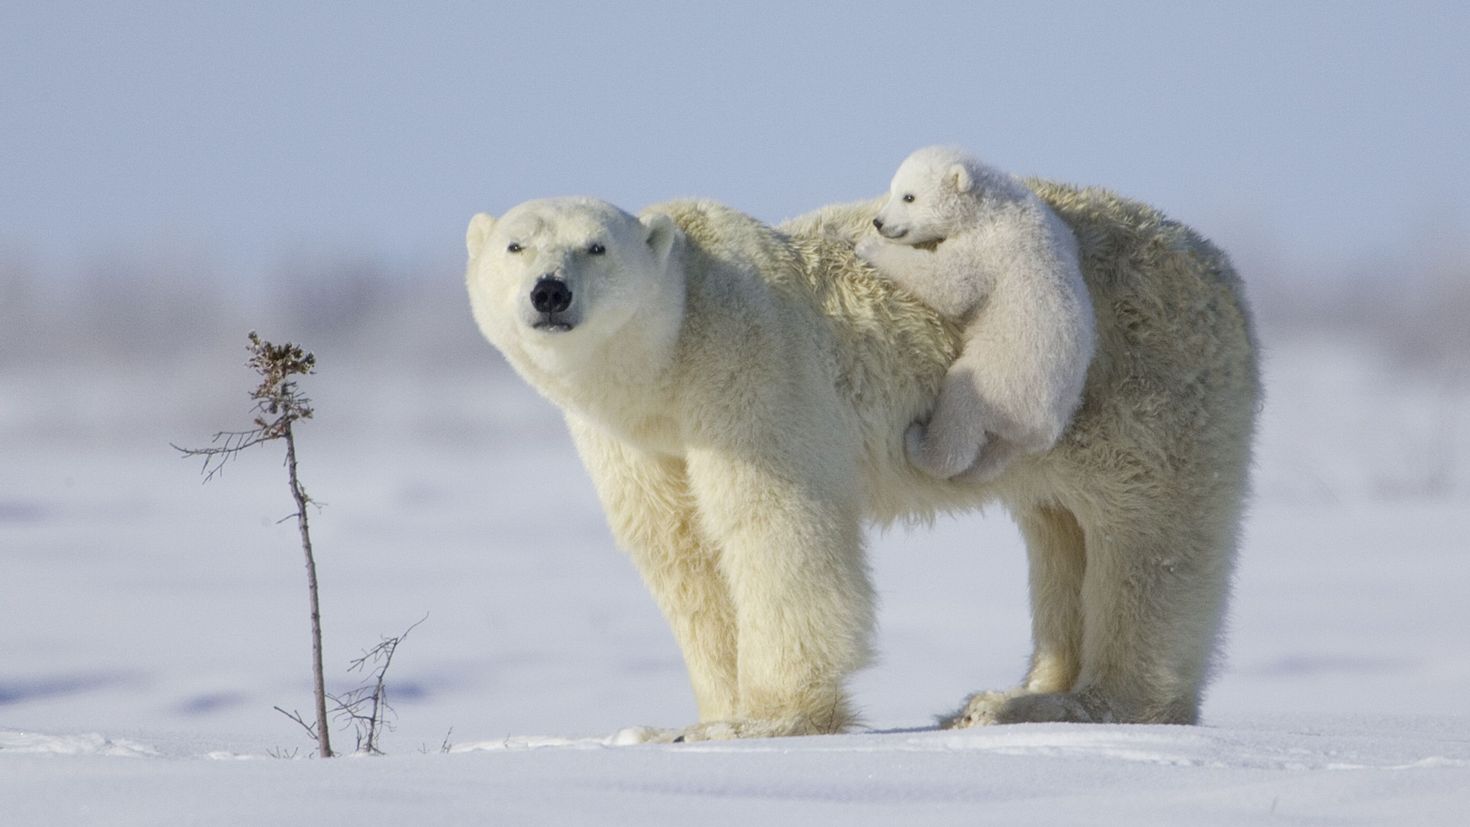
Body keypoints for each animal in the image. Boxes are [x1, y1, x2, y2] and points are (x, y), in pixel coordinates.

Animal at [464, 184, 1258, 740]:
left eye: (597, 246)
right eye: (515, 246)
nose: (550, 292)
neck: (671, 357)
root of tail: (1221, 267)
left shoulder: (751, 366)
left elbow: (775, 529)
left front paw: (765, 719)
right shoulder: (635, 440)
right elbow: (681, 552)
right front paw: (696, 716)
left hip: (1142, 378)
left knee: (1146, 539)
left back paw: (1087, 702)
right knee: (1060, 528)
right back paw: (1010, 695)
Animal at [852, 146, 1093, 484]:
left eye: (909, 197)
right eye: (893, 189)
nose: (878, 222)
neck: (992, 206)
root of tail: (1043, 428)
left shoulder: (987, 246)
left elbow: (949, 284)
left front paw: (869, 247)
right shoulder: (1053, 222)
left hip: (998, 381)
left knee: (959, 413)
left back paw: (919, 444)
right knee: (995, 455)